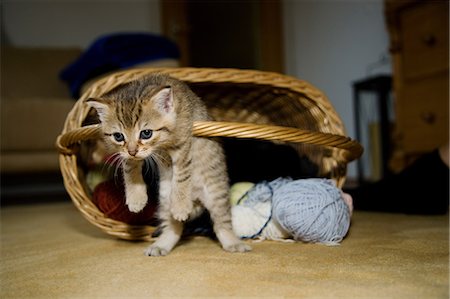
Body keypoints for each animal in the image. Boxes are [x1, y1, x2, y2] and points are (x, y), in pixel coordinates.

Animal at [86, 74, 251, 256]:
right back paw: (161, 245)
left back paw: (232, 242)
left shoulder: (183, 146)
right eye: (118, 136)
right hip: (165, 199)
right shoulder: (127, 155)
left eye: (146, 133)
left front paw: (180, 206)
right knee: (174, 228)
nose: (132, 151)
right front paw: (136, 198)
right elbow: (129, 167)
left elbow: (182, 176)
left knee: (222, 223)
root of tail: (197, 201)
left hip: (216, 194)